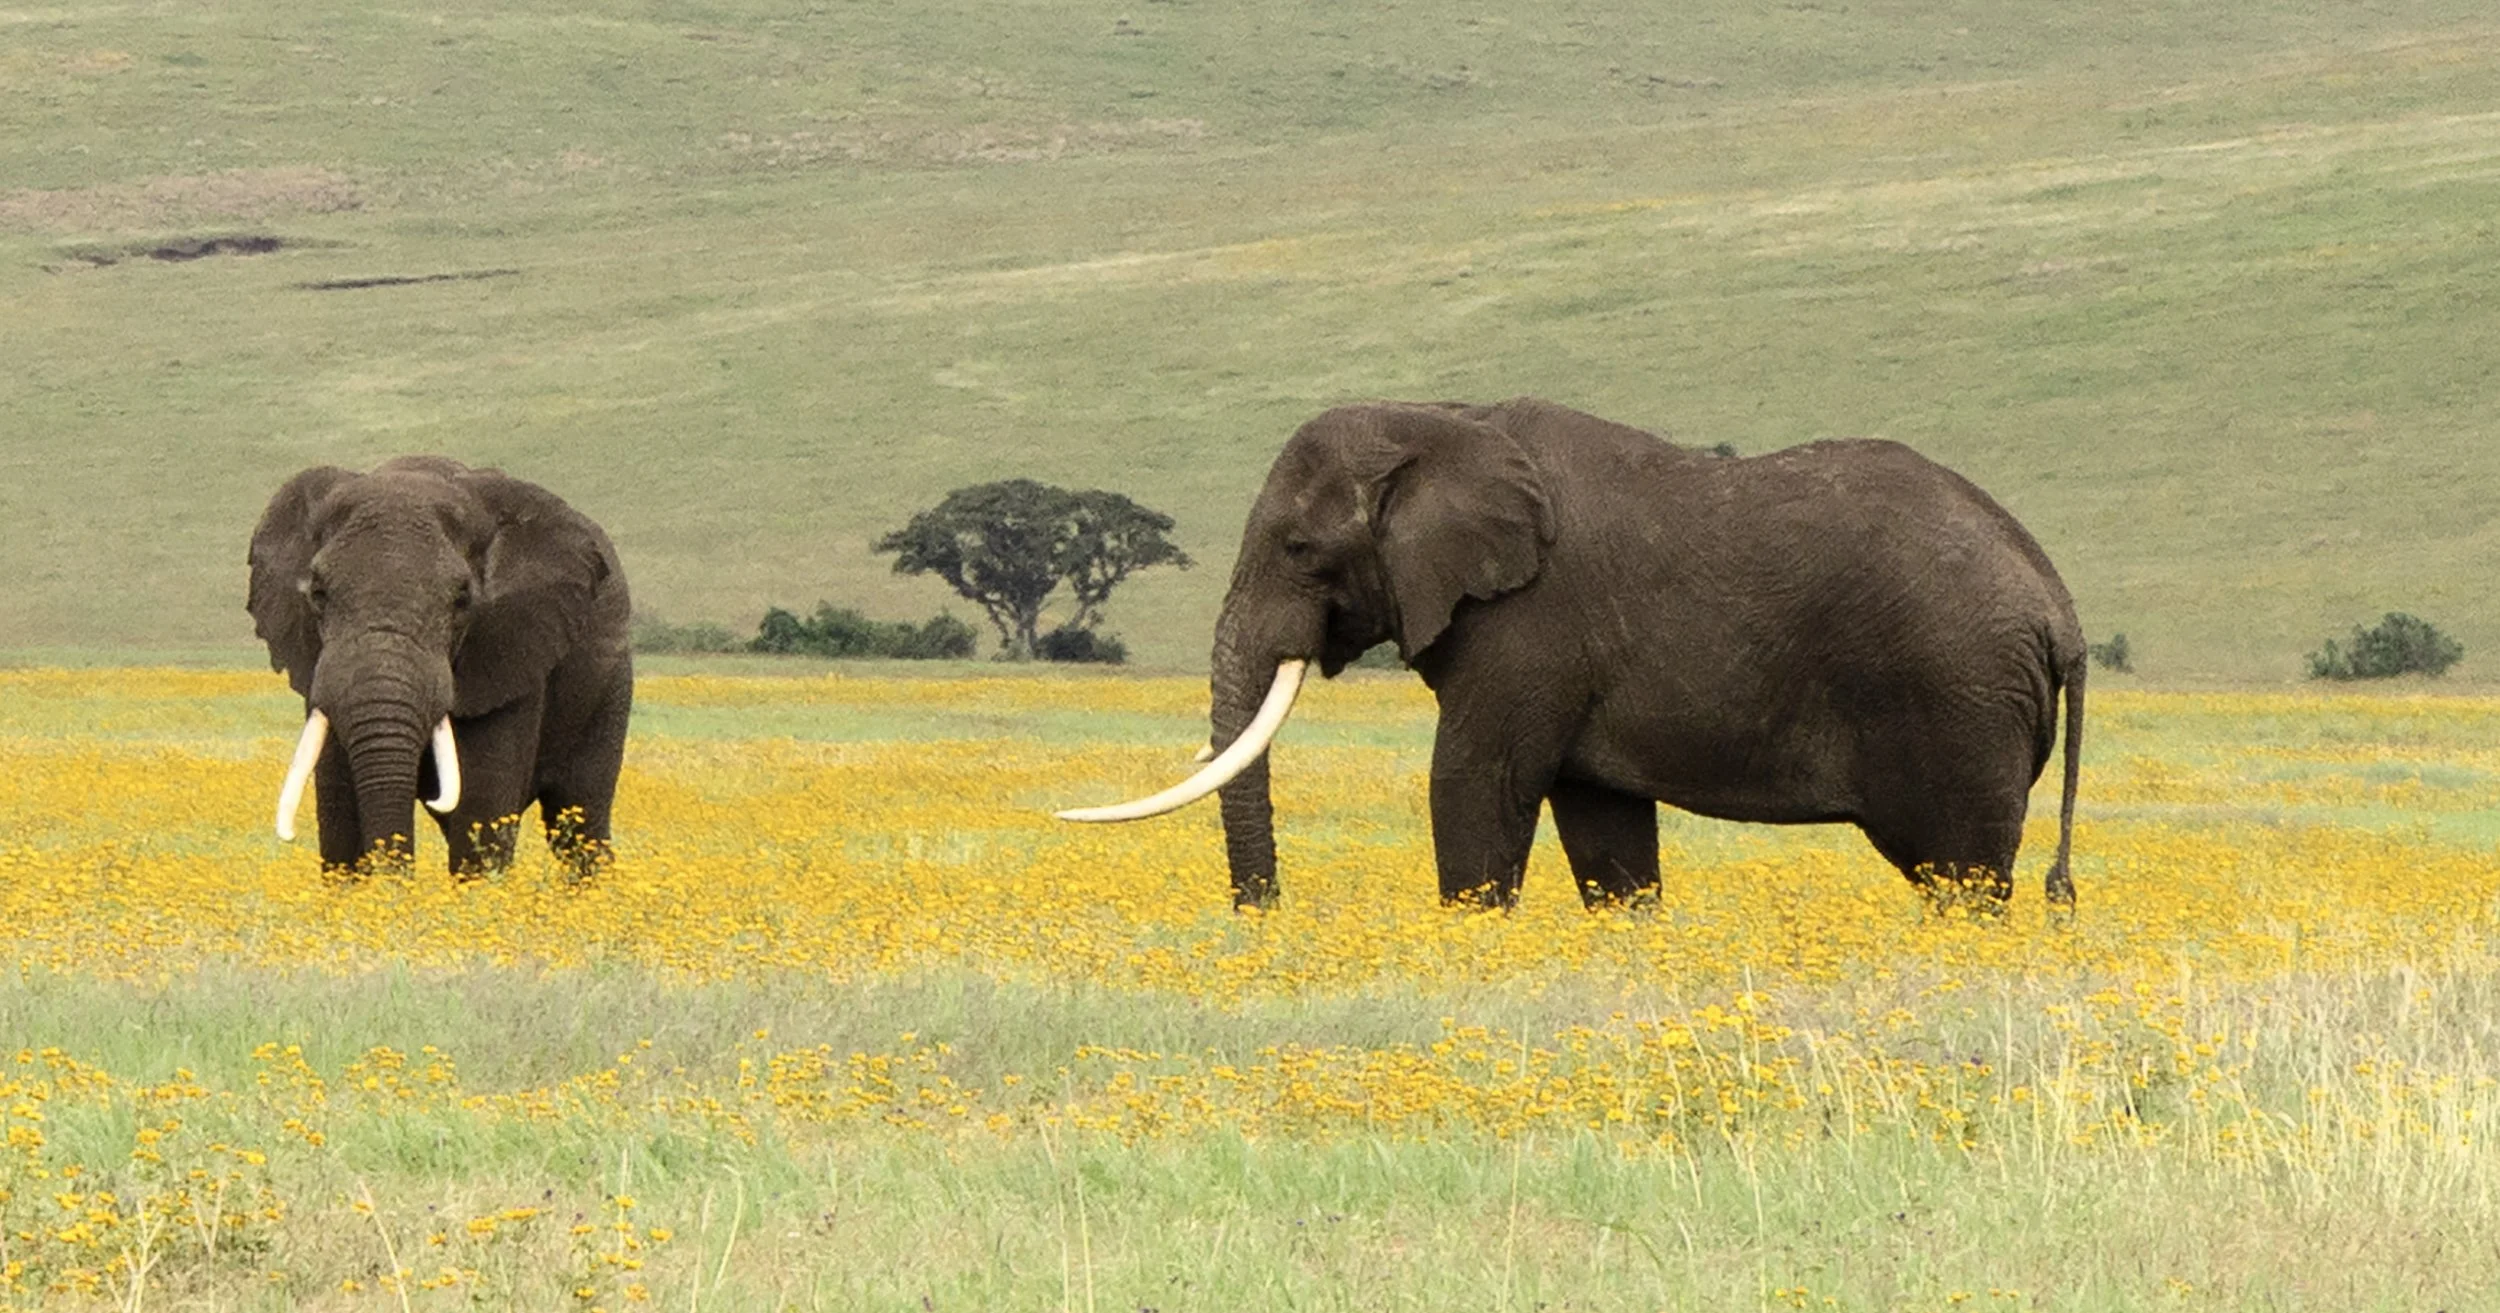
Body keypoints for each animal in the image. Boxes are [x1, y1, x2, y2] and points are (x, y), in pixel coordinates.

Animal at [247, 456, 632, 879]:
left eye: (462, 599)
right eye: (317, 594)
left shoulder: (511, 651)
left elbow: (480, 812)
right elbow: (339, 819)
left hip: (609, 684)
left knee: (581, 820)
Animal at [1062, 397, 2085, 915]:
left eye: (1299, 548)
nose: (1264, 918)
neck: (1441, 419)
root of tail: (2058, 604)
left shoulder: (1529, 623)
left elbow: (1473, 784)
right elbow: (1605, 830)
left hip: (1957, 696)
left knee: (1963, 875)